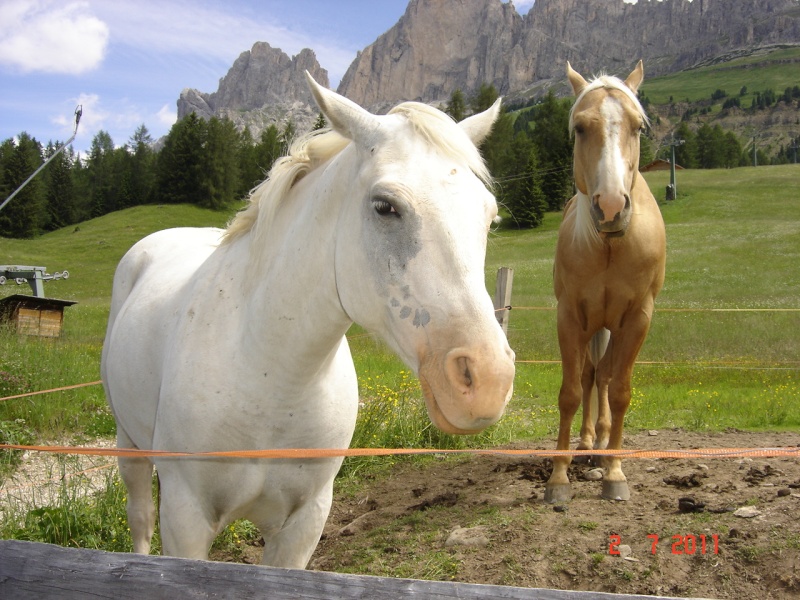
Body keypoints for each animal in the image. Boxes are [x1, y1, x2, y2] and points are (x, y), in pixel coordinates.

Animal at [101, 74, 512, 568]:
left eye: (489, 217)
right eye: (384, 206)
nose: (487, 380)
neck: (268, 372)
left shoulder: (304, 523)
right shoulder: (186, 519)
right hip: (130, 445)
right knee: (140, 517)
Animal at [544, 61, 668, 502]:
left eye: (638, 127)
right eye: (580, 128)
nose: (612, 207)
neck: (611, 247)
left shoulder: (638, 319)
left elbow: (620, 392)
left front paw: (615, 472)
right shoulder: (569, 317)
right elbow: (570, 392)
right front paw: (558, 478)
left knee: (606, 376)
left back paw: (600, 447)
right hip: (592, 324)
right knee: (589, 376)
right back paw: (586, 443)